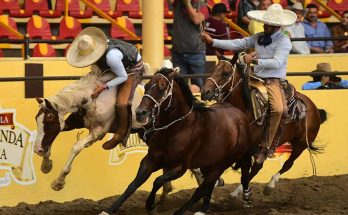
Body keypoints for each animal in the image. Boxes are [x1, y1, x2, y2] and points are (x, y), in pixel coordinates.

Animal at [100, 67, 253, 215]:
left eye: (162, 88)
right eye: (147, 86)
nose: (140, 113)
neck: (177, 129)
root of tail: (242, 117)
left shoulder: (179, 168)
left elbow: (157, 181)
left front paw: (151, 205)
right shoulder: (150, 160)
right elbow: (133, 185)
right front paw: (108, 210)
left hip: (221, 164)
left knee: (201, 190)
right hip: (210, 164)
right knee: (207, 187)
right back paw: (203, 208)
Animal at [201, 53, 326, 197]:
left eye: (226, 73)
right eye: (213, 70)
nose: (205, 92)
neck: (247, 109)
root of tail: (314, 108)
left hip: (301, 144)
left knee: (287, 164)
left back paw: (269, 185)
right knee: (257, 167)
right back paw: (238, 191)